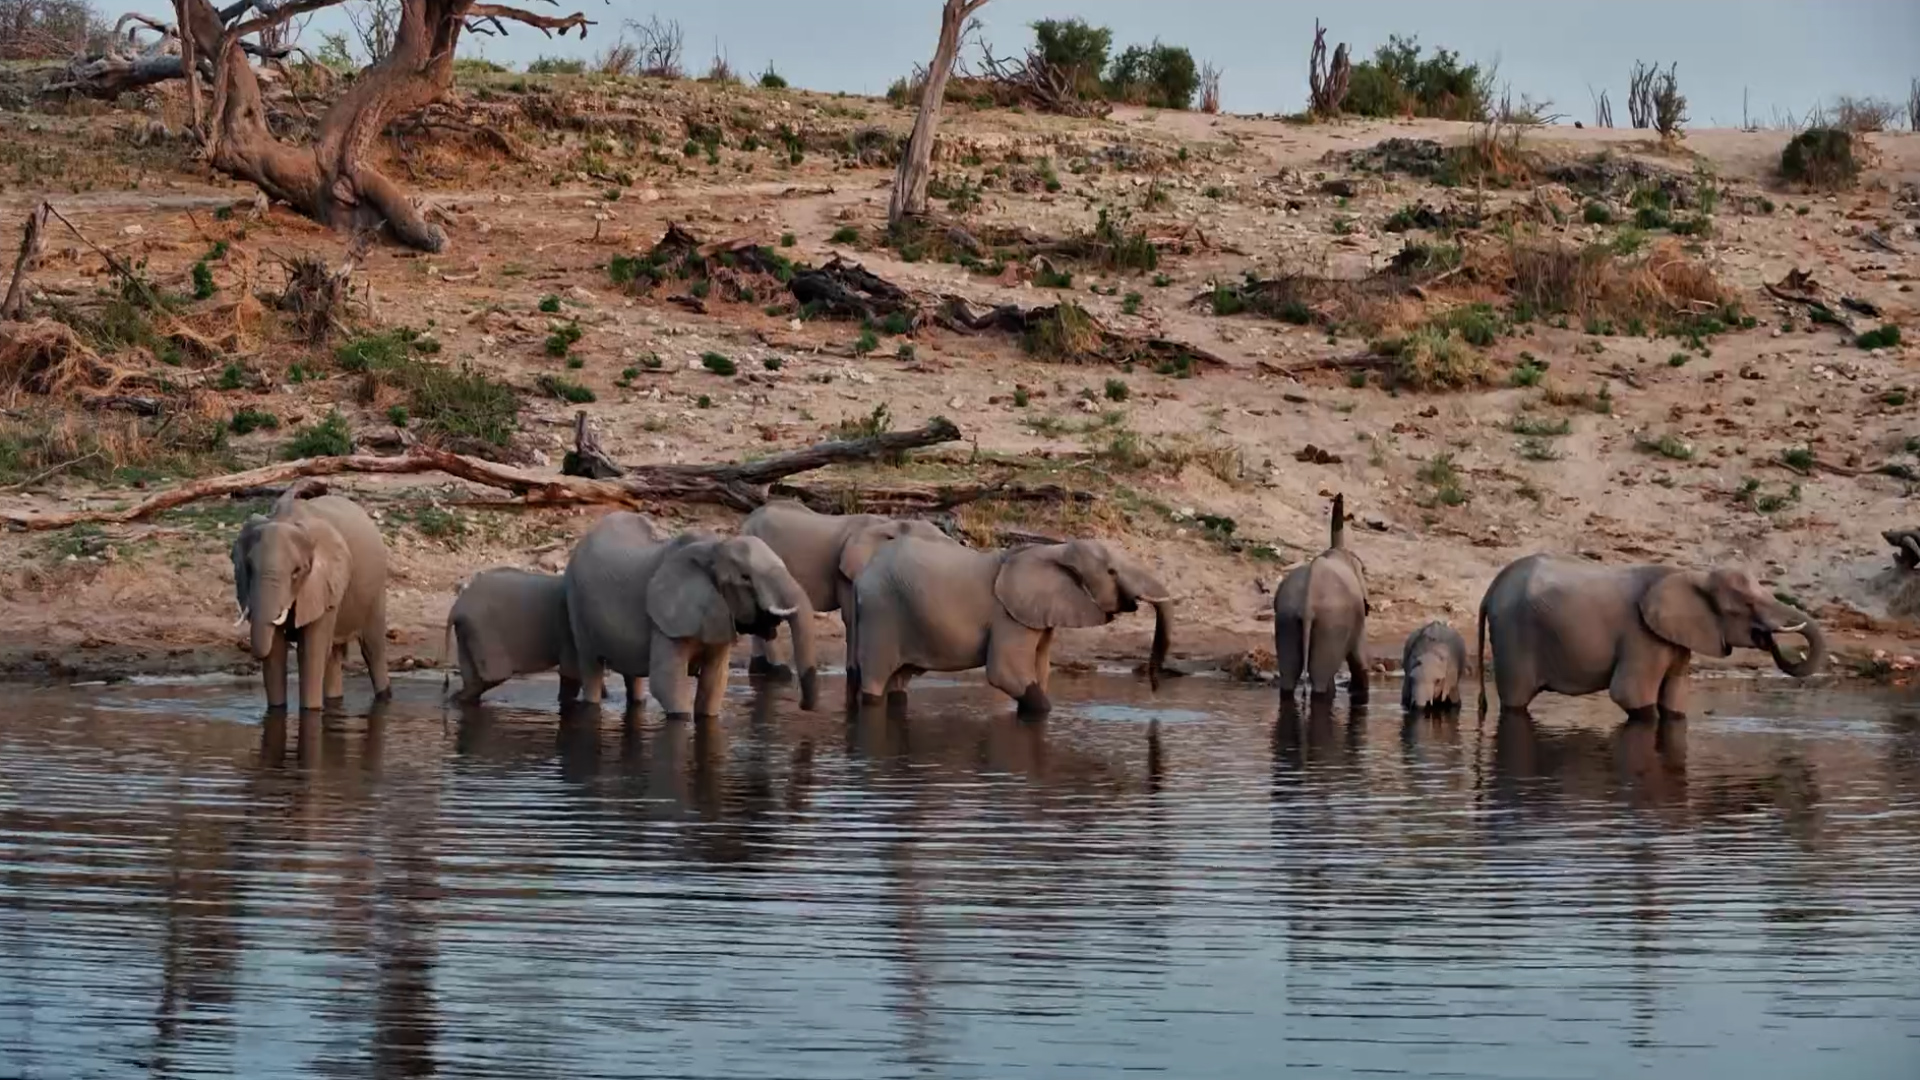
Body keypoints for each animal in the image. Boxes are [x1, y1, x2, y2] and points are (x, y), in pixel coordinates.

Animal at [230, 487, 390, 711]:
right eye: (250, 568)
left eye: (297, 571)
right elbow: (276, 651)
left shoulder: (323, 584)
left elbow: (311, 652)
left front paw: (311, 711)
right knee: (334, 655)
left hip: (376, 589)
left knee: (373, 649)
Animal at [564, 512, 819, 719]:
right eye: (745, 577)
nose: (803, 706)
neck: (713, 548)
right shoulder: (666, 619)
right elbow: (667, 685)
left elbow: (714, 684)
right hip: (575, 601)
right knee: (591, 667)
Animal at [850, 535, 1173, 715]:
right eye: (1111, 572)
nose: (1155, 690)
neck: (1057, 550)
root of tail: (863, 573)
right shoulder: (1008, 616)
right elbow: (1005, 674)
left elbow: (1040, 671)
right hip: (881, 613)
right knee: (876, 680)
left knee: (899, 681)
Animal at [1273, 493, 1369, 702]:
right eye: (1364, 569)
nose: (1339, 495)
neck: (1337, 552)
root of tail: (1308, 606)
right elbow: (1358, 656)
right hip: (1331, 623)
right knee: (1320, 678)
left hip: (1286, 618)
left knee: (1289, 674)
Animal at [1476, 554, 1828, 720]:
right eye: (1747, 605)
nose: (1770, 639)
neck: (1690, 575)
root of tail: (1490, 589)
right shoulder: (1641, 636)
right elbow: (1631, 695)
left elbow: (1674, 700)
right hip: (1513, 633)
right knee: (1515, 701)